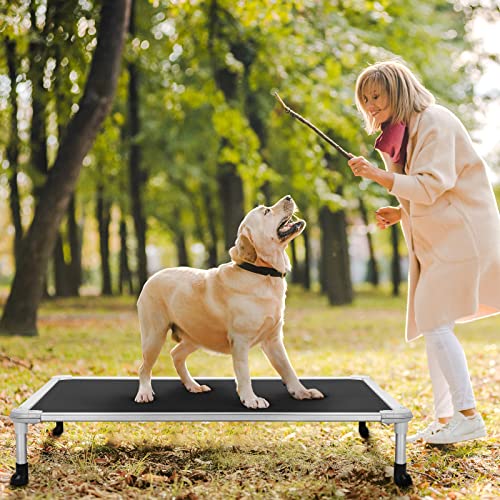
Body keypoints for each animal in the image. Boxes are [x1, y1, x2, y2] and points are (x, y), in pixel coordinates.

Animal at [136, 193, 324, 408]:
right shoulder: (240, 341)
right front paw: (251, 399)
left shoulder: (273, 339)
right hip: (154, 336)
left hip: (197, 335)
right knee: (144, 367)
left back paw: (193, 385)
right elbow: (244, 373)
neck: (262, 273)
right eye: (266, 211)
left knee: (176, 354)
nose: (288, 197)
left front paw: (302, 392)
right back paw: (144, 393)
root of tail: (151, 277)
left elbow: (288, 368)